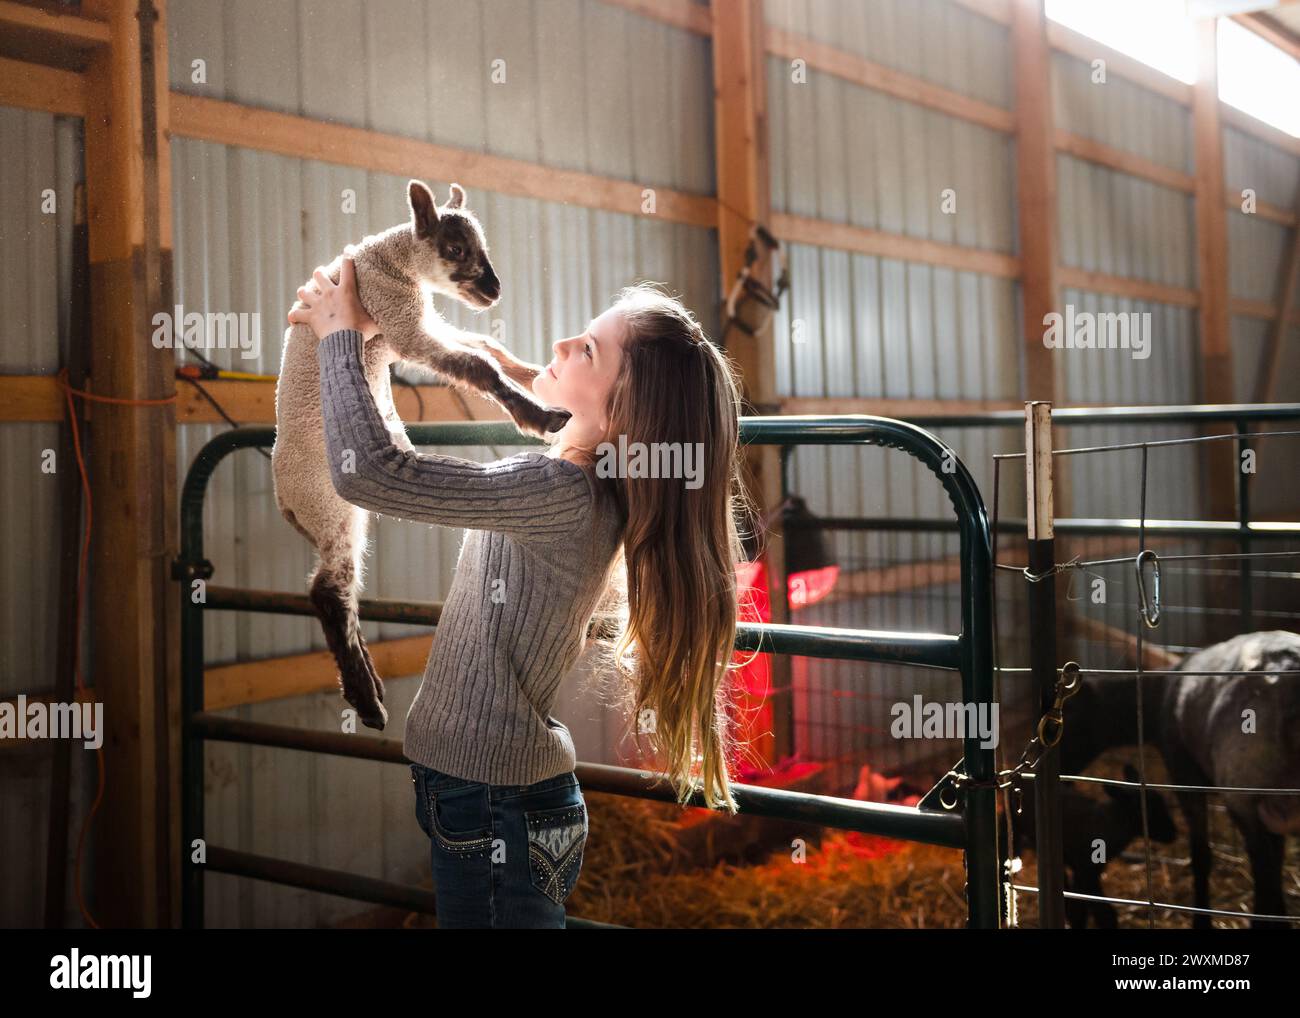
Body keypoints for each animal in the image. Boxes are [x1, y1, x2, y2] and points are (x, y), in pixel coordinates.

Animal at [273, 179, 569, 728]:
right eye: (454, 249)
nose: (494, 289)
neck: (392, 262)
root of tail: (286, 503)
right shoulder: (397, 322)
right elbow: (477, 365)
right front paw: (541, 417)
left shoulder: (414, 322)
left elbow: (485, 346)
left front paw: (535, 373)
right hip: (326, 503)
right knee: (328, 592)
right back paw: (368, 704)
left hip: (346, 514)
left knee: (343, 593)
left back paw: (368, 686)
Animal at [1003, 764, 1180, 925]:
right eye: (1143, 810)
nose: (1173, 834)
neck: (1107, 823)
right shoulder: (1086, 871)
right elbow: (1102, 912)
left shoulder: (1088, 869)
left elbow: (1079, 906)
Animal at [1066, 624, 1300, 925]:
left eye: (1071, 720)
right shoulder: (1272, 808)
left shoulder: (1186, 776)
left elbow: (1201, 856)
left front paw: (1202, 919)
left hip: (1244, 788)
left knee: (1263, 873)